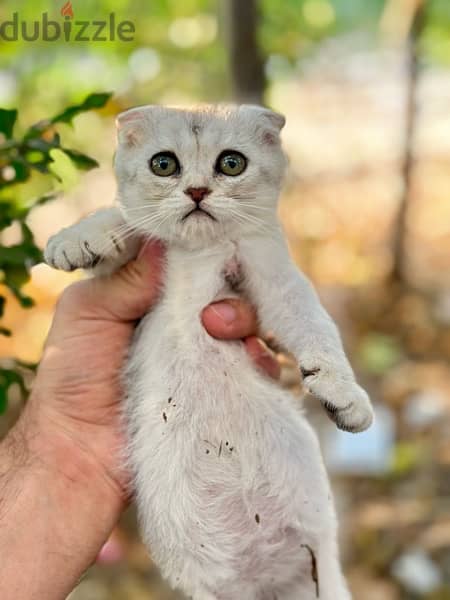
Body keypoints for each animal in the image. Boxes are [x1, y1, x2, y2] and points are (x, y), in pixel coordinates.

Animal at [44, 105, 372, 596]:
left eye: (231, 163)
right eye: (164, 164)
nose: (197, 190)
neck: (200, 252)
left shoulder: (272, 275)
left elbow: (313, 323)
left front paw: (344, 394)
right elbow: (125, 224)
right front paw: (77, 238)